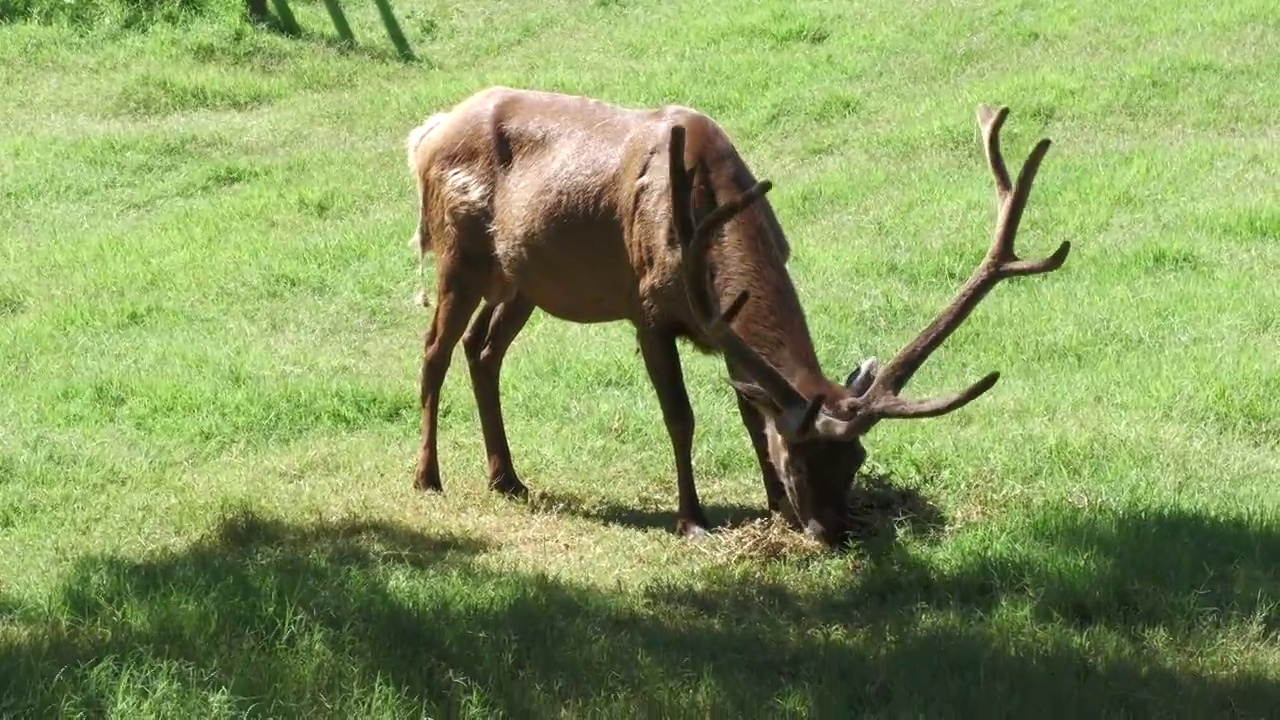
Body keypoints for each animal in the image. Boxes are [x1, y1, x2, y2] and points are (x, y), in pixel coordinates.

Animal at [404, 90, 1064, 548]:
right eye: (799, 459)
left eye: (856, 460)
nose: (832, 531)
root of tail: (426, 133)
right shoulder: (648, 311)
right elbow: (681, 417)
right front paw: (692, 519)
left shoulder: (723, 333)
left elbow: (750, 415)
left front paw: (773, 509)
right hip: (459, 254)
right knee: (434, 350)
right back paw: (428, 476)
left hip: (523, 280)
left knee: (482, 349)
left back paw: (506, 477)